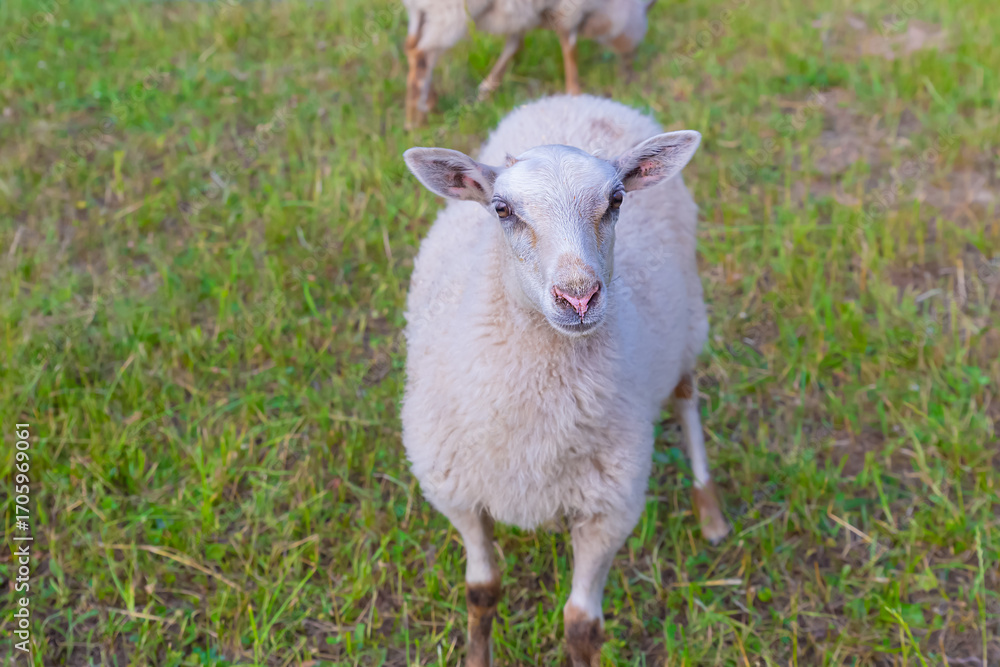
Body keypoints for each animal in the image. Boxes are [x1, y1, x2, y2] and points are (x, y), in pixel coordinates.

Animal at [401, 94, 730, 666]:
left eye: (616, 199)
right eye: (501, 209)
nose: (579, 297)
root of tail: (580, 98)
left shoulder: (609, 509)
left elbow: (581, 626)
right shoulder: (457, 493)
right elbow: (481, 592)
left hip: (689, 318)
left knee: (687, 397)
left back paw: (708, 507)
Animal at [403, 0, 655, 128]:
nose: (630, 69)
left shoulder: (524, 16)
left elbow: (515, 44)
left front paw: (487, 89)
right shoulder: (570, 9)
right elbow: (569, 46)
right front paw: (574, 92)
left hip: (423, 14)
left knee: (413, 47)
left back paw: (428, 104)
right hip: (451, 14)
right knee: (422, 56)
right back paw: (416, 120)